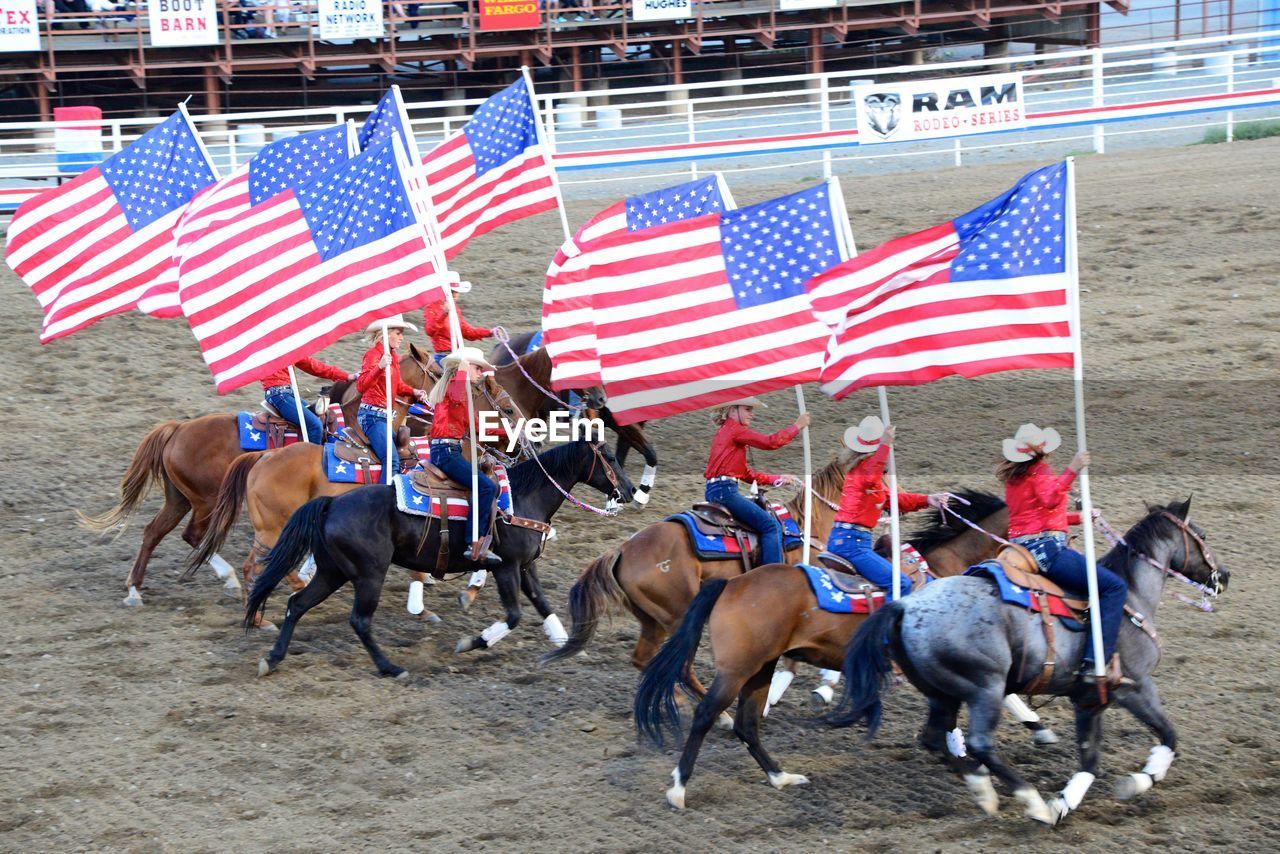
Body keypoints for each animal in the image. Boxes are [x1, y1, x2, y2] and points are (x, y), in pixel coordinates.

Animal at [81, 343, 440, 604]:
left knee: (154, 532)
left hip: (180, 498)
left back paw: (134, 589)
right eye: (438, 372)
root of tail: (178, 429)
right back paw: (228, 579)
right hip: (205, 500)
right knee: (192, 535)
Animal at [241, 440, 632, 681]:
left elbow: (543, 603)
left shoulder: (526, 566)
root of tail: (331, 504)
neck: (521, 498)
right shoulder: (506, 567)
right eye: (610, 458)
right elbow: (514, 616)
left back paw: (272, 659)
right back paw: (391, 668)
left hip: (333, 571)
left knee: (296, 604)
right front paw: (472, 643)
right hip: (368, 574)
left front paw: (568, 646)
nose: (629, 491)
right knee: (359, 621)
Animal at [629, 491, 1039, 814]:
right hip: (737, 670)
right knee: (706, 715)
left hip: (759, 666)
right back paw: (679, 789)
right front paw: (1032, 731)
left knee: (747, 723)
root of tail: (731, 584)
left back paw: (781, 777)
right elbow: (998, 696)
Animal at [829, 496, 1228, 824]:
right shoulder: (1136, 687)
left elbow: (1090, 759)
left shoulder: (1089, 701)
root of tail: (906, 606)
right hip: (984, 687)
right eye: (1202, 534)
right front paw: (1139, 780)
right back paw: (1029, 800)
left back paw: (984, 790)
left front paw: (1064, 802)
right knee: (979, 743)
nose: (1224, 575)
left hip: (943, 693)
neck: (1131, 595)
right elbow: (1169, 736)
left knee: (934, 738)